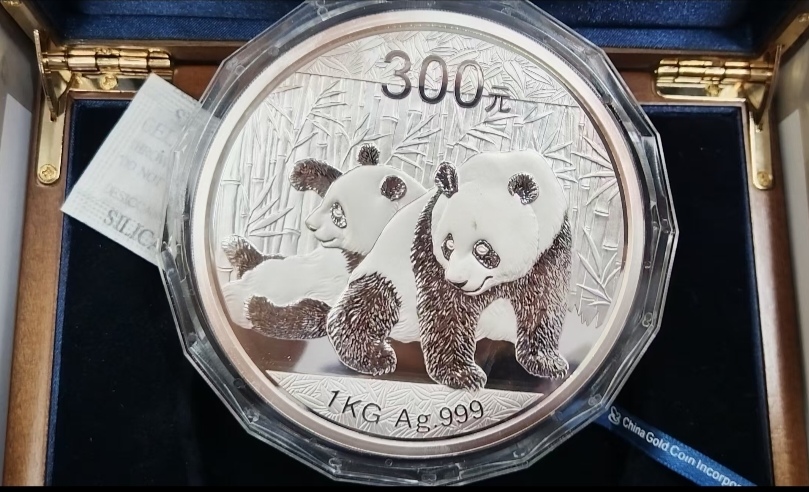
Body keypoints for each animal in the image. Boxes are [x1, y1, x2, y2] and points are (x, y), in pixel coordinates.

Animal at [219, 144, 427, 339]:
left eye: (337, 211)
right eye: (327, 200)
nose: (310, 225)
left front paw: (257, 308)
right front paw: (301, 172)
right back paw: (235, 248)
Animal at [325, 150, 572, 390]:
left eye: (482, 248)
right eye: (449, 244)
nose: (458, 281)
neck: (495, 174)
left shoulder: (551, 246)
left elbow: (544, 299)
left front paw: (546, 361)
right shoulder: (428, 241)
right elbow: (446, 307)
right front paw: (462, 375)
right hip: (387, 275)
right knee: (367, 304)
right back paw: (376, 356)